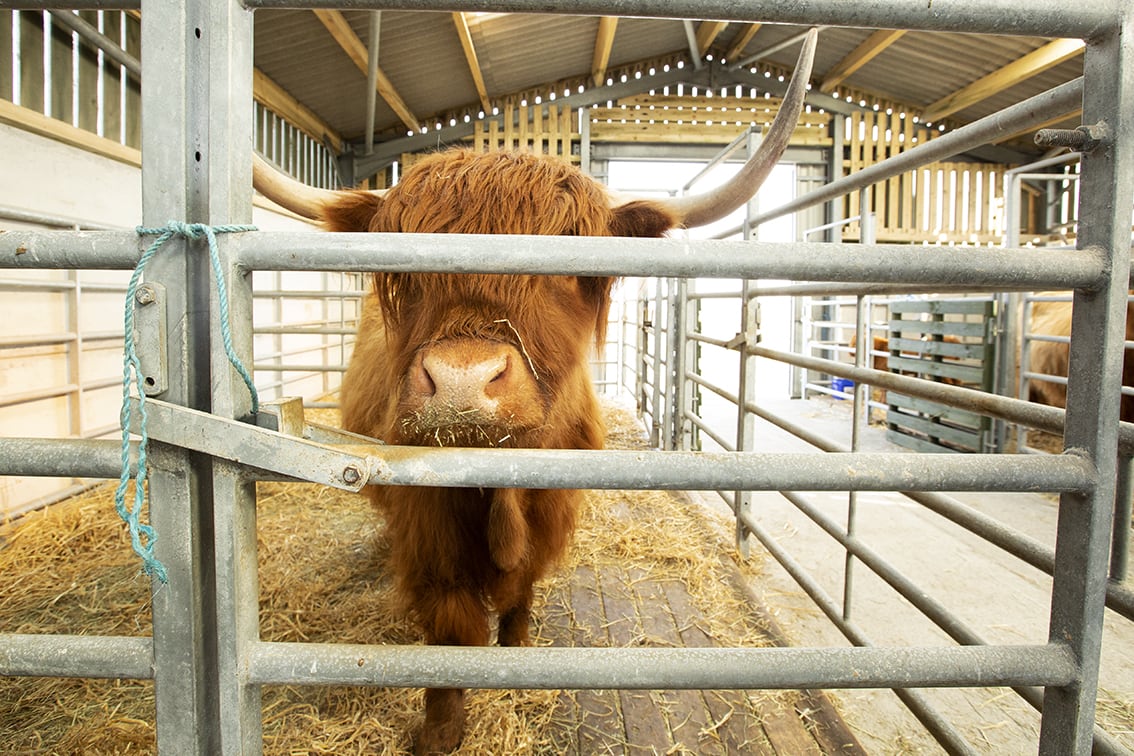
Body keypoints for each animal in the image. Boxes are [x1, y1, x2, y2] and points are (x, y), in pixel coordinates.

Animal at [252, 28, 811, 752]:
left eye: (571, 263)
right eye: (405, 265)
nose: (461, 382)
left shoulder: (551, 508)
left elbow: (520, 593)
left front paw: (516, 660)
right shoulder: (429, 531)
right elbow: (451, 628)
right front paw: (442, 728)